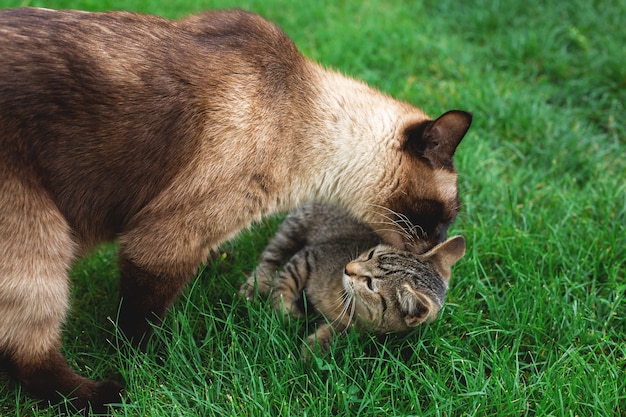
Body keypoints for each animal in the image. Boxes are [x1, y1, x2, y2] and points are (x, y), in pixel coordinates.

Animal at [240, 203, 464, 352]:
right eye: (371, 254)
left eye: (370, 284)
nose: (347, 268)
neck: (344, 302)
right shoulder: (310, 256)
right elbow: (285, 284)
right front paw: (285, 312)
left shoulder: (353, 328)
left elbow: (332, 334)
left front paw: (311, 353)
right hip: (297, 224)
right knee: (272, 256)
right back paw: (255, 286)